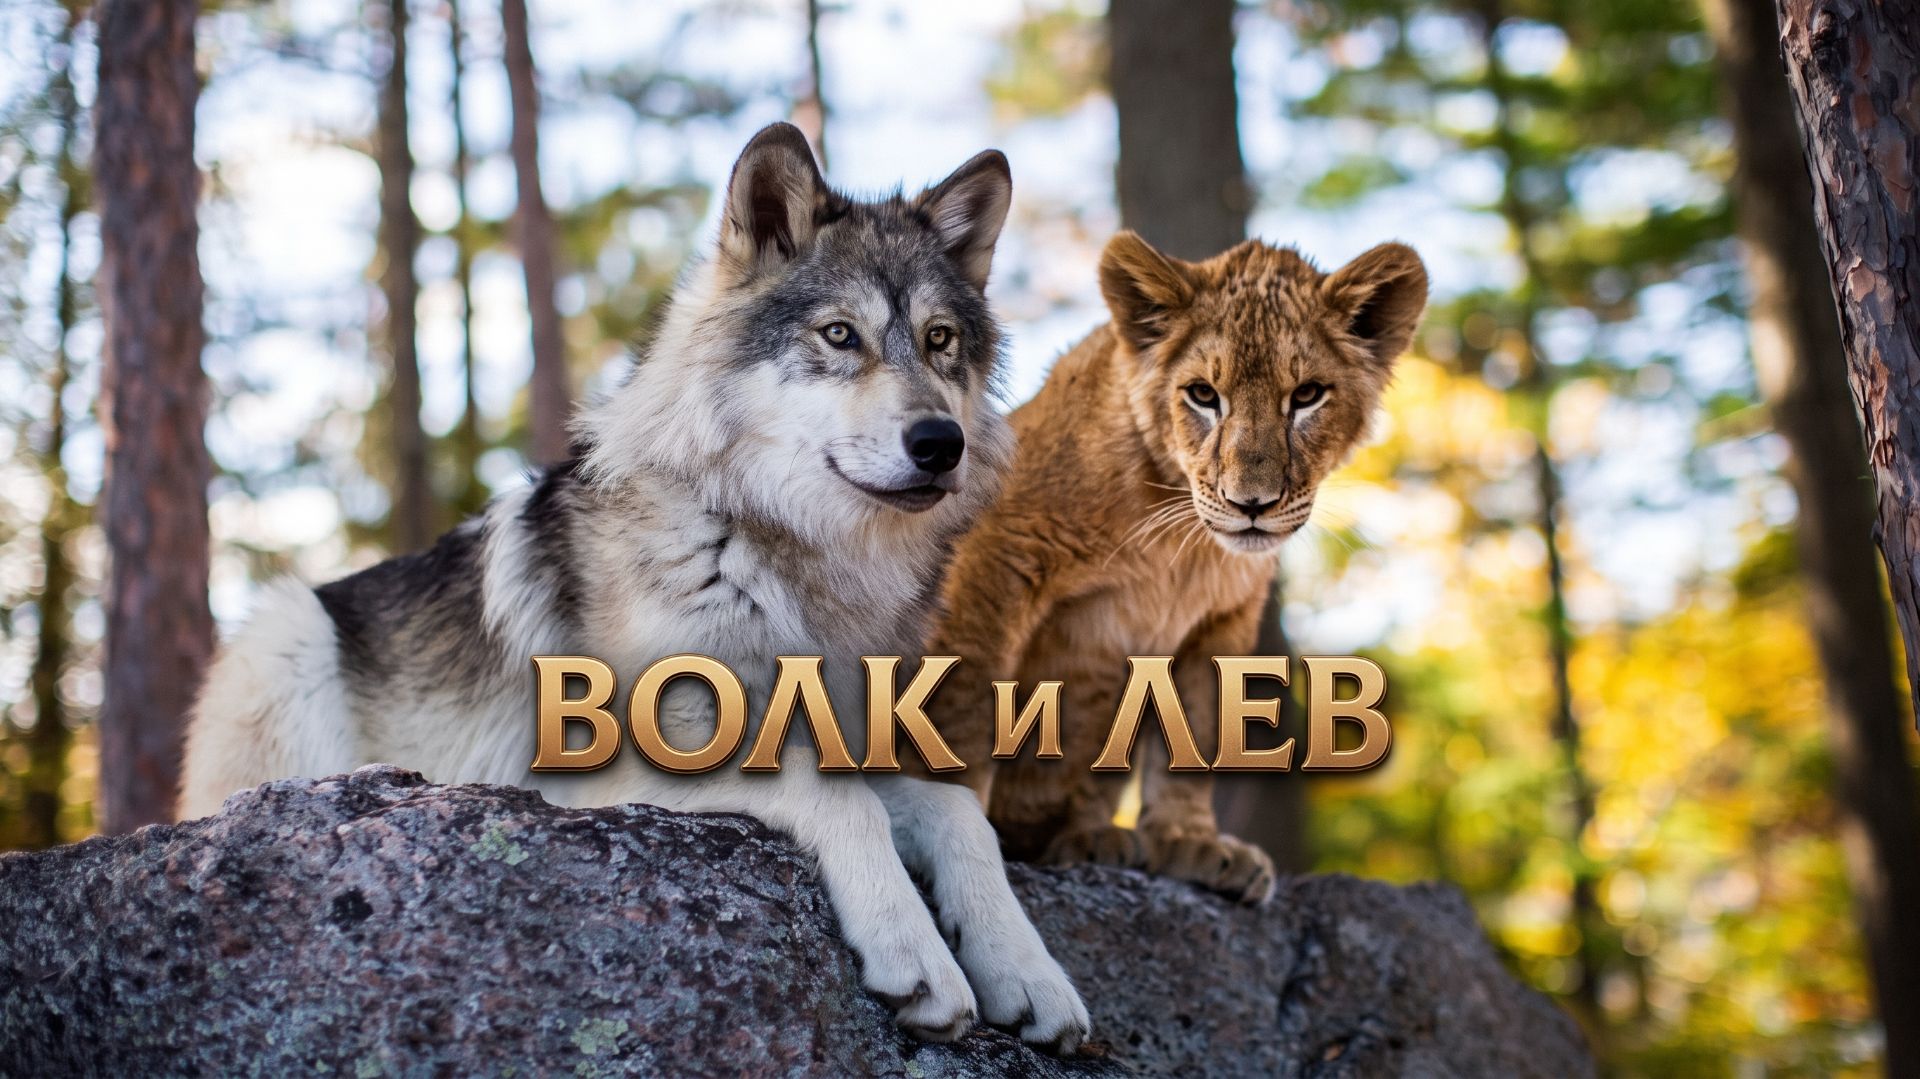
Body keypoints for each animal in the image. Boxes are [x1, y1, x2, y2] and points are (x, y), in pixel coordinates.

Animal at [179, 123, 1090, 1051]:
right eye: (840, 335)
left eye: (941, 341)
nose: (940, 442)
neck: (783, 557)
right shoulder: (611, 771)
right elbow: (838, 800)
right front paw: (918, 953)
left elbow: (958, 810)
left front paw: (1028, 972)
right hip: (286, 631)